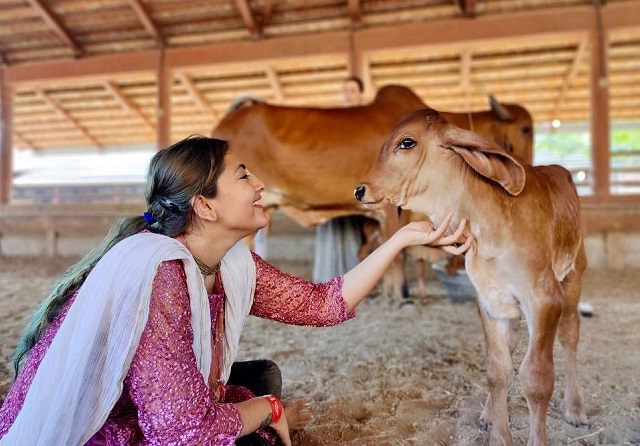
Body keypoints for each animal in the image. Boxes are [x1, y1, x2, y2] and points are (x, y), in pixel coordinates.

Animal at [356, 108, 592, 446]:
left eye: (407, 142)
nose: (360, 190)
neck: (489, 227)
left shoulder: (545, 299)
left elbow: (537, 377)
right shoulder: (490, 299)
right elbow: (497, 370)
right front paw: (498, 434)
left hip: (574, 275)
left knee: (570, 335)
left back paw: (575, 409)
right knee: (510, 350)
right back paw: (487, 414)